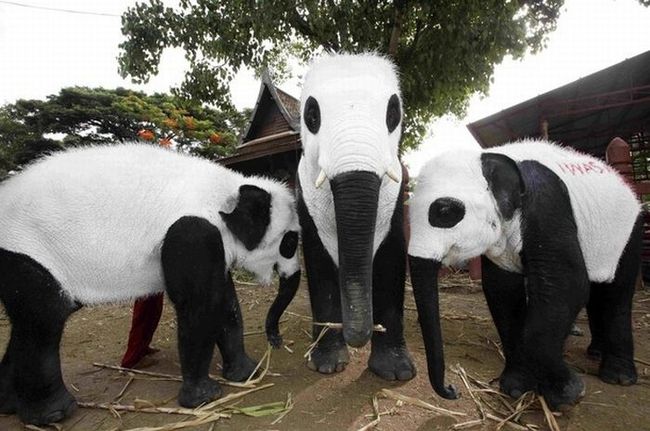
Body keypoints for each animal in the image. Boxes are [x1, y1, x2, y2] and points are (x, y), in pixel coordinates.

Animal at [0, 144, 298, 426]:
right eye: (290, 242)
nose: (276, 340)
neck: (228, 188)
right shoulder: (191, 231)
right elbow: (198, 304)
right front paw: (204, 397)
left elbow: (224, 300)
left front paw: (247, 373)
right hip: (28, 250)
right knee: (44, 319)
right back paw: (52, 413)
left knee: (32, 320)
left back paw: (10, 404)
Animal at [294, 53, 416, 382]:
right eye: (311, 116)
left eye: (393, 115)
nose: (363, 333)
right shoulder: (303, 192)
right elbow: (319, 261)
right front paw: (326, 363)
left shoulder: (397, 194)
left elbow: (390, 257)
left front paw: (396, 371)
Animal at [408, 141, 640, 412]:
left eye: (445, 212)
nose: (453, 389)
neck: (487, 157)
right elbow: (503, 292)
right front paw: (516, 386)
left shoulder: (547, 202)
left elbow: (566, 286)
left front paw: (567, 392)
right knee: (598, 291)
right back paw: (596, 351)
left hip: (626, 232)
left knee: (617, 294)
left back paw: (619, 376)